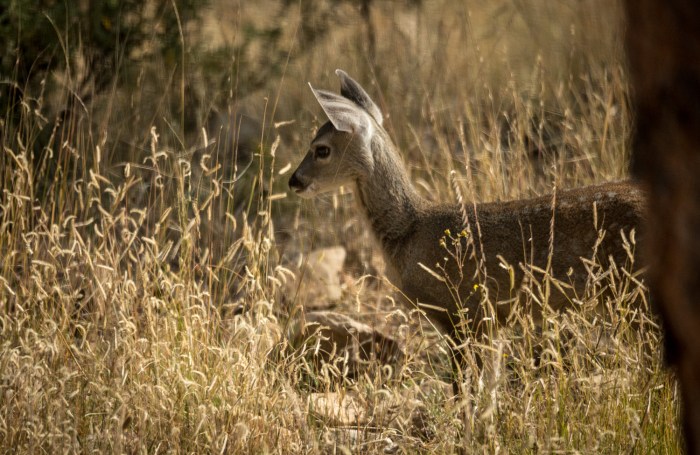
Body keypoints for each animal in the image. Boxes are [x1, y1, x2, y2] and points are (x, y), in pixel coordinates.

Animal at [288, 69, 646, 394]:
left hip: (634, 289)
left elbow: (464, 387)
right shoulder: (486, 322)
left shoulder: (462, 311)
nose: (294, 181)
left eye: (321, 149)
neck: (409, 231)